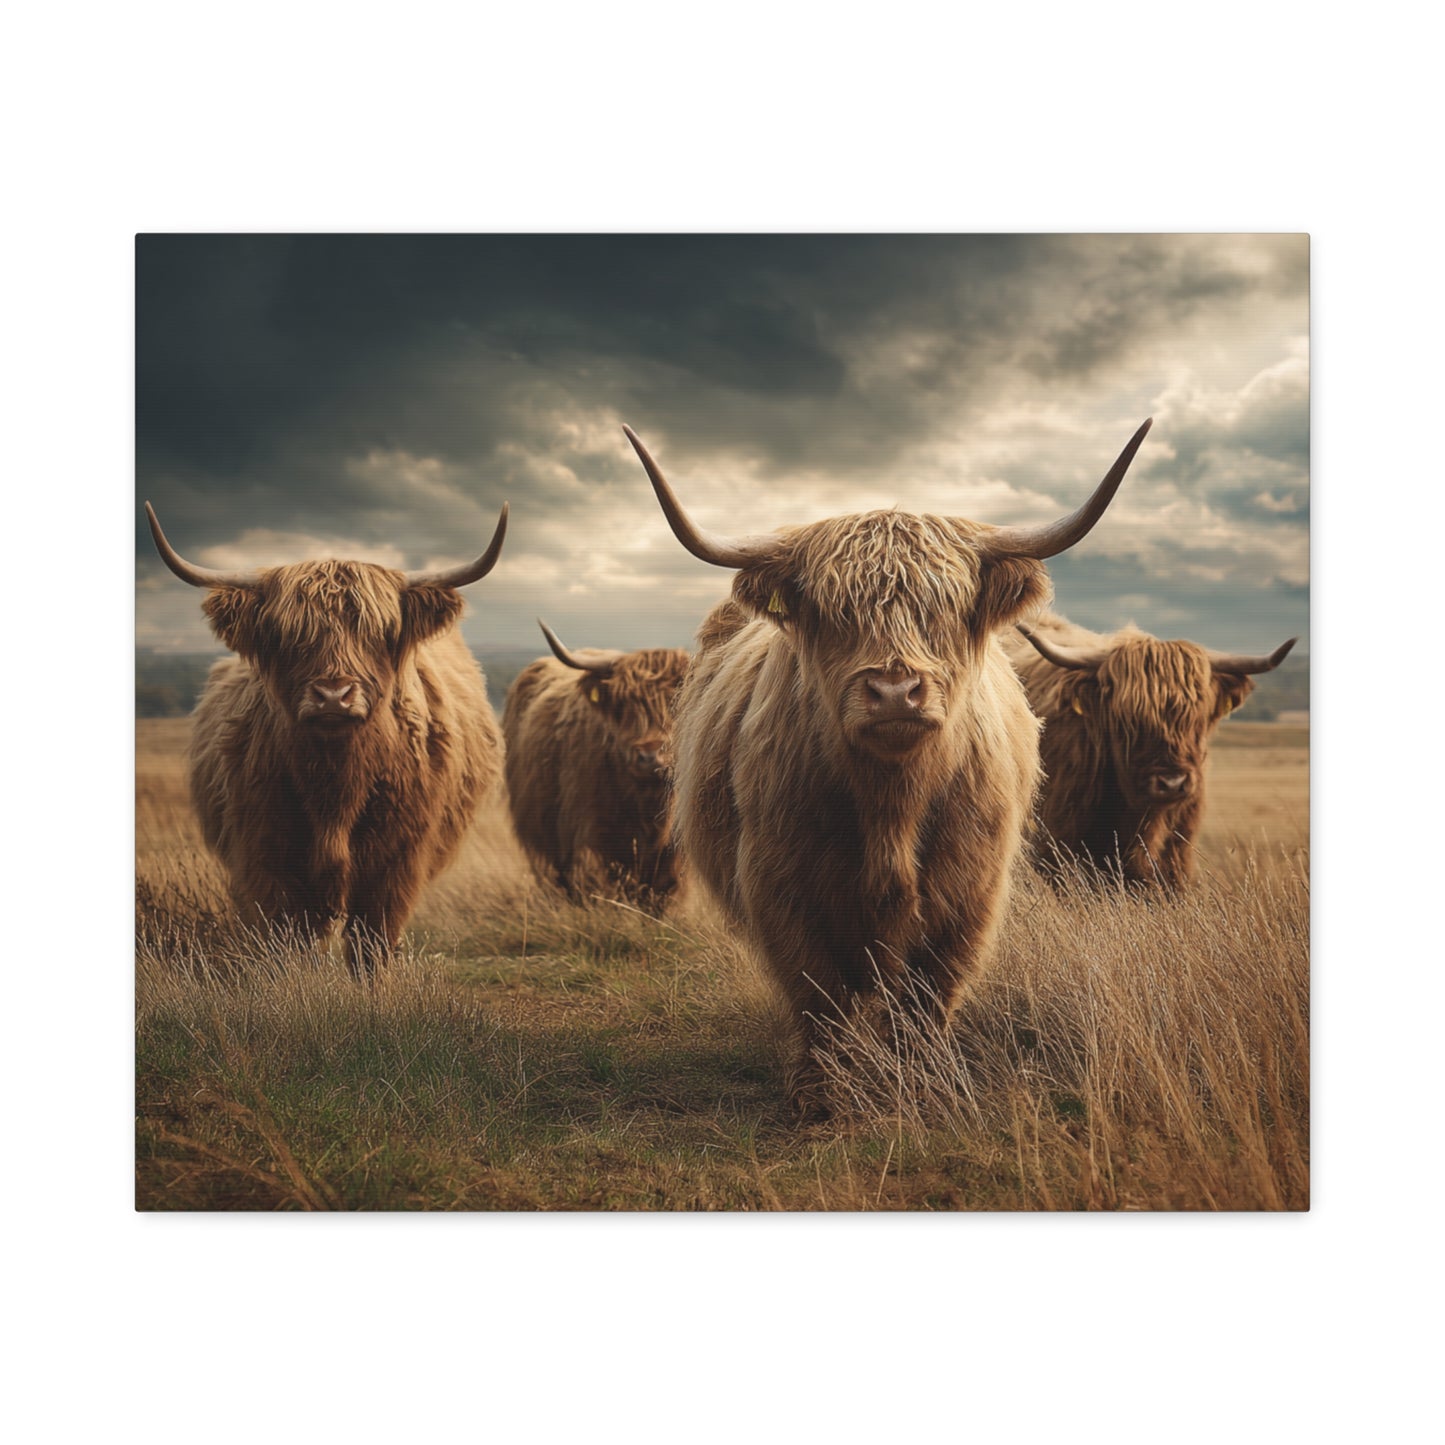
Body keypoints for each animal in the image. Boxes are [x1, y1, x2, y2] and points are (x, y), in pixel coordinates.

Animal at [144, 501, 509, 974]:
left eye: (378, 632)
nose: (333, 695)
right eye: (287, 634)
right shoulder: (265, 854)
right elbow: (288, 940)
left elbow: (372, 942)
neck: (335, 787)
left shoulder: (397, 860)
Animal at [624, 419, 1151, 1116]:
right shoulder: (779, 885)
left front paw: (922, 1085)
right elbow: (818, 994)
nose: (896, 691)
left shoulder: (971, 894)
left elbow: (928, 997)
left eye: (947, 607)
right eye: (833, 612)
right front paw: (819, 1095)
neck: (891, 807)